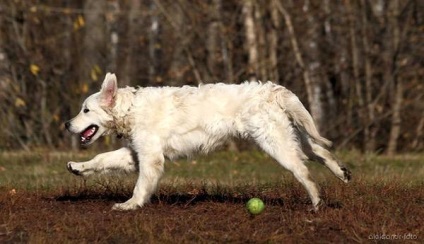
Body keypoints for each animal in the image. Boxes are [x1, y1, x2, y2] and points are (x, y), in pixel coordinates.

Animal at [65, 72, 352, 210]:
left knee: (304, 171)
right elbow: (102, 158)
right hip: (292, 136)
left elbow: (140, 186)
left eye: (85, 110)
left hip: (275, 142)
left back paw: (316, 203)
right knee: (320, 151)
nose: (67, 124)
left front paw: (131, 205)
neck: (131, 109)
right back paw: (342, 172)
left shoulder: (150, 158)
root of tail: (271, 89)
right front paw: (78, 167)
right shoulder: (135, 154)